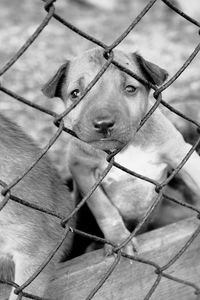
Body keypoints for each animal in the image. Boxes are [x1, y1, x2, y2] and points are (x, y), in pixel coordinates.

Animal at [42, 47, 200, 255]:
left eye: (130, 89)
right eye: (75, 93)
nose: (103, 124)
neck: (124, 148)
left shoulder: (179, 152)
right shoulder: (81, 169)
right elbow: (105, 209)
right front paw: (118, 238)